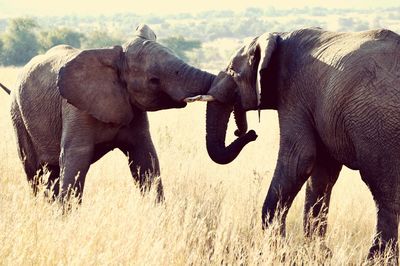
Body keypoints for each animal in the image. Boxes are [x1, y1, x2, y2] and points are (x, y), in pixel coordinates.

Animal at [10, 24, 216, 202]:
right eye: (153, 80)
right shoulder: (75, 108)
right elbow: (75, 159)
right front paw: (65, 217)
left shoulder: (134, 110)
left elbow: (145, 158)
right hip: (17, 116)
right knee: (34, 171)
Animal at [192, 28, 398, 260]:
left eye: (233, 72)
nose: (249, 133)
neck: (278, 36)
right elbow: (322, 172)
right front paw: (318, 254)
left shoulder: (294, 93)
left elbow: (300, 159)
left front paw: (278, 251)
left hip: (380, 125)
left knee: (383, 188)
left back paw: (378, 259)